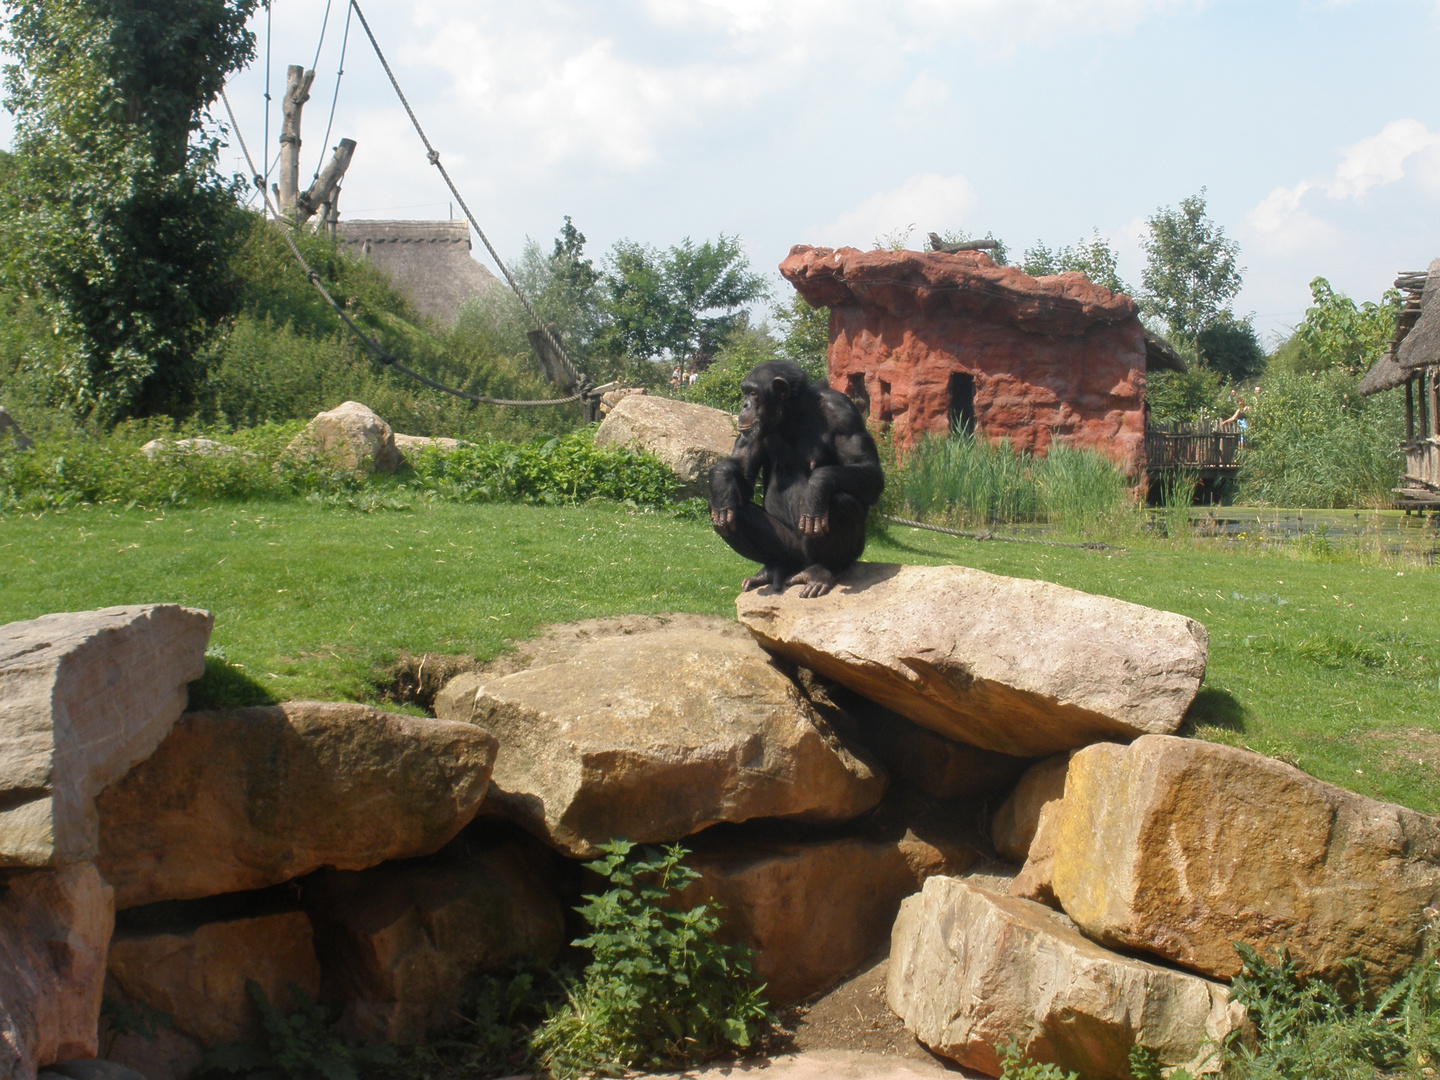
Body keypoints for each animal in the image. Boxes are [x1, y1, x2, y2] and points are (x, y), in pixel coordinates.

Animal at [705, 361, 881, 601]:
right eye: (745, 392)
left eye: (753, 393)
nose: (744, 405)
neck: (793, 416)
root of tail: (801, 566)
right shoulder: (750, 430)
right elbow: (742, 471)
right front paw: (721, 485)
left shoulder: (844, 413)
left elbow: (868, 469)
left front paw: (817, 488)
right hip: (791, 548)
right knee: (734, 511)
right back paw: (773, 568)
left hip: (829, 553)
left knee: (841, 502)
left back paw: (823, 571)